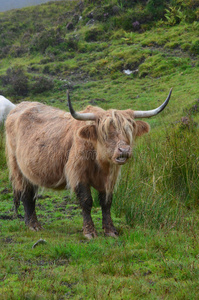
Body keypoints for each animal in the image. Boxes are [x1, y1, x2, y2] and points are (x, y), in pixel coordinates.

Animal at [5, 89, 172, 239]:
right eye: (106, 133)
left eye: (128, 131)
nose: (124, 150)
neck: (100, 163)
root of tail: (19, 107)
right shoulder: (78, 175)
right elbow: (87, 201)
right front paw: (90, 232)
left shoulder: (109, 179)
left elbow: (107, 202)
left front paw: (110, 231)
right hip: (17, 167)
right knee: (26, 194)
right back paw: (33, 226)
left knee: (31, 194)